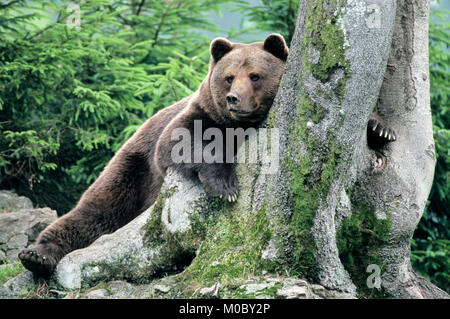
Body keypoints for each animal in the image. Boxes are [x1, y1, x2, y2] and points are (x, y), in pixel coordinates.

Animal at [19, 33, 396, 278]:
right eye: (229, 76)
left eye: (255, 75)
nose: (233, 99)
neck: (242, 125)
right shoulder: (198, 116)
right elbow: (182, 142)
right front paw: (225, 186)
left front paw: (381, 129)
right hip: (132, 168)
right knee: (96, 213)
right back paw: (36, 254)